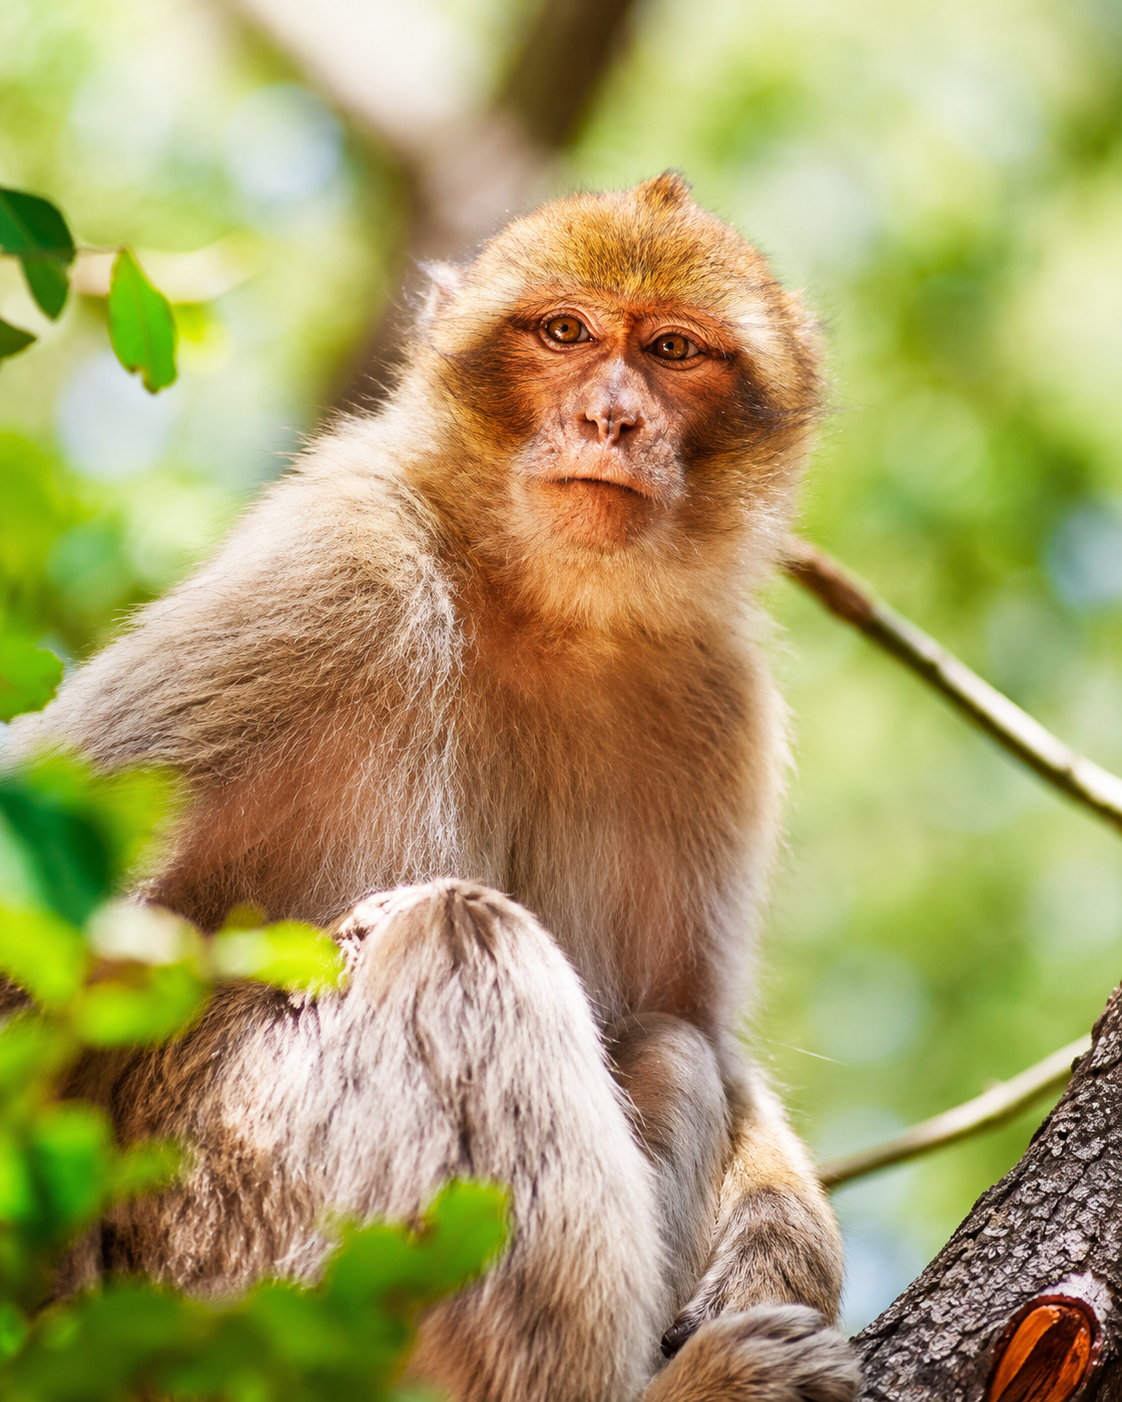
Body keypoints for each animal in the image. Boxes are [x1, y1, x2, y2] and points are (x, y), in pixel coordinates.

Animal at [7, 173, 860, 1402]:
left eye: (673, 349)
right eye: (565, 333)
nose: (612, 419)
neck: (537, 597)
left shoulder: (714, 699)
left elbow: (695, 1017)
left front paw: (790, 1243)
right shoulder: (335, 566)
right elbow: (38, 939)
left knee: (666, 1043)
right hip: (244, 1263)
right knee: (460, 934)